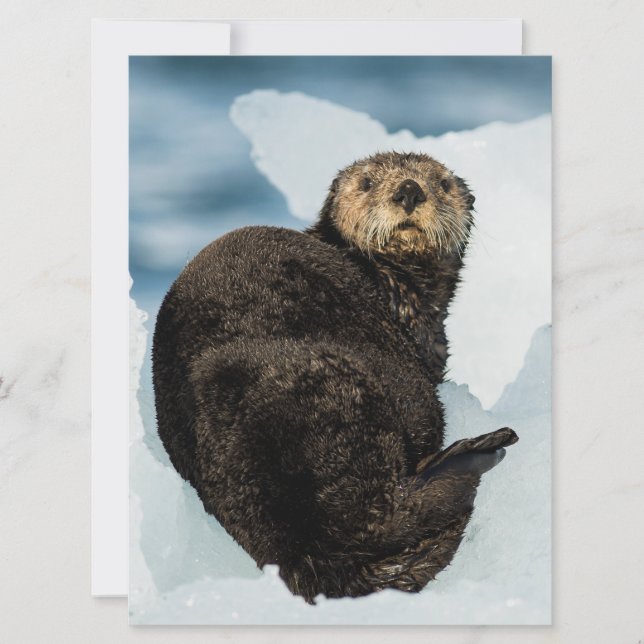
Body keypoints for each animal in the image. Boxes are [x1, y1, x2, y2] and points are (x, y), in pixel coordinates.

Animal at [152, 151, 518, 603]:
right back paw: (480, 451)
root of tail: (297, 550)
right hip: (356, 398)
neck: (396, 288)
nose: (409, 190)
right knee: (390, 511)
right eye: (366, 183)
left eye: (442, 184)